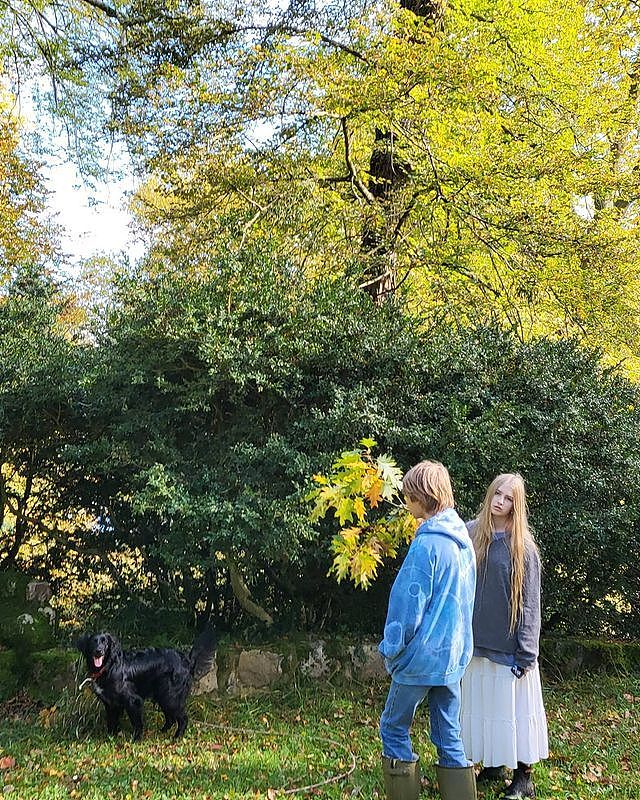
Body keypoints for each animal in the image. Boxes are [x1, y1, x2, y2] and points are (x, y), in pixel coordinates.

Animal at [77, 628, 218, 740]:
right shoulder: (111, 704)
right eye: (93, 641)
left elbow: (137, 724)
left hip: (170, 697)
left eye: (104, 642)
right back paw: (161, 732)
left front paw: (136, 740)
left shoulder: (133, 701)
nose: (99, 651)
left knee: (183, 719)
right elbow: (111, 722)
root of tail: (187, 660)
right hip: (163, 696)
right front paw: (111, 737)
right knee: (171, 718)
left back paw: (177, 737)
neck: (109, 666)